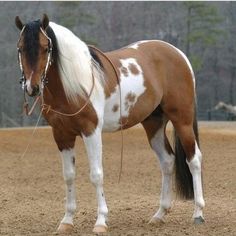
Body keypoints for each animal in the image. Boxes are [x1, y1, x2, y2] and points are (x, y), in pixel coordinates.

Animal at [15, 15, 206, 234]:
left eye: (46, 48)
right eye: (20, 48)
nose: (32, 87)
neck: (73, 85)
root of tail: (178, 54)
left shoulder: (91, 131)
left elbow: (96, 175)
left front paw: (100, 221)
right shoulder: (62, 135)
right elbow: (69, 175)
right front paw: (67, 221)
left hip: (182, 120)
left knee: (194, 160)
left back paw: (198, 213)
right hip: (154, 124)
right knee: (167, 161)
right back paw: (159, 215)